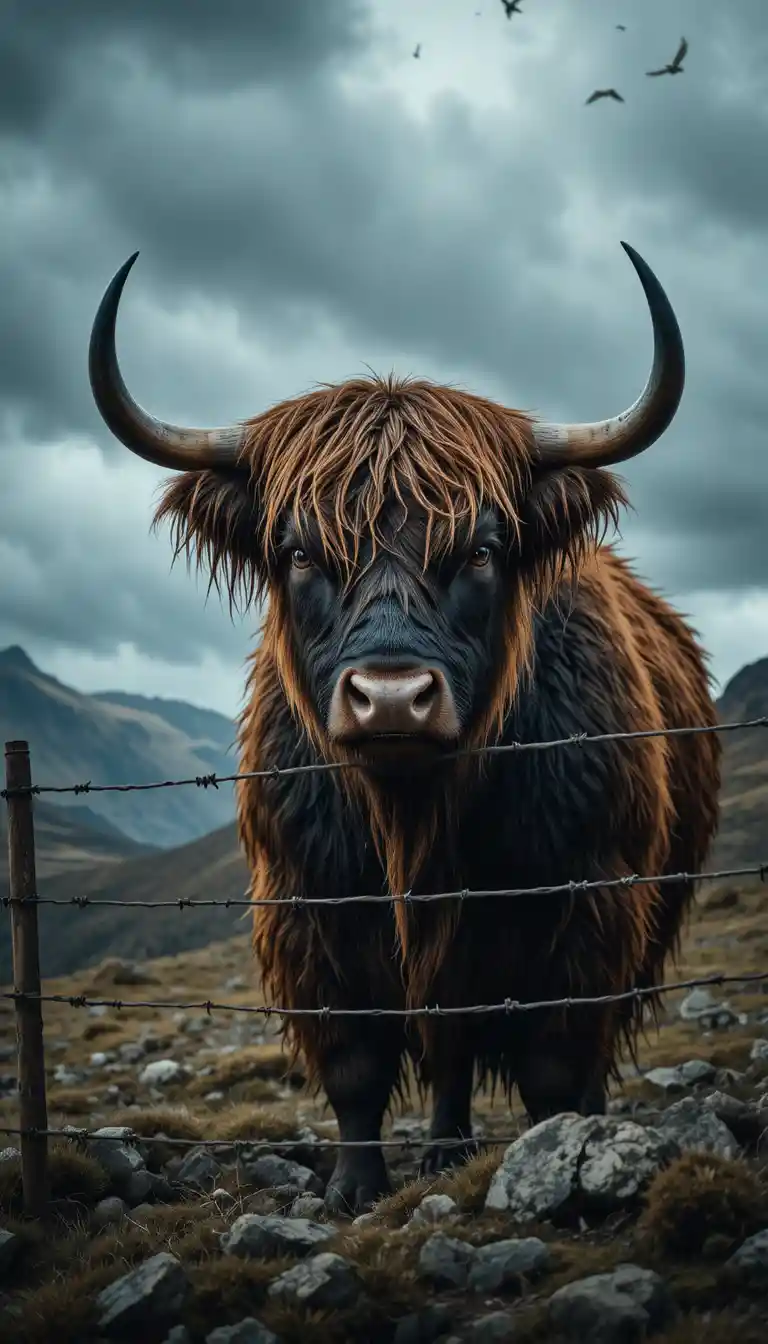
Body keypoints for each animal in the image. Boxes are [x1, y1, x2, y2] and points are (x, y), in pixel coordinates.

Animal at [87, 242, 721, 1215]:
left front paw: (555, 1151)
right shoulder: (310, 911)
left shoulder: (589, 905)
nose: (390, 698)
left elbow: (552, 1059)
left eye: (483, 550)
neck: (414, 815)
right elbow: (355, 1064)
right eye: (299, 551)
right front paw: (354, 1188)